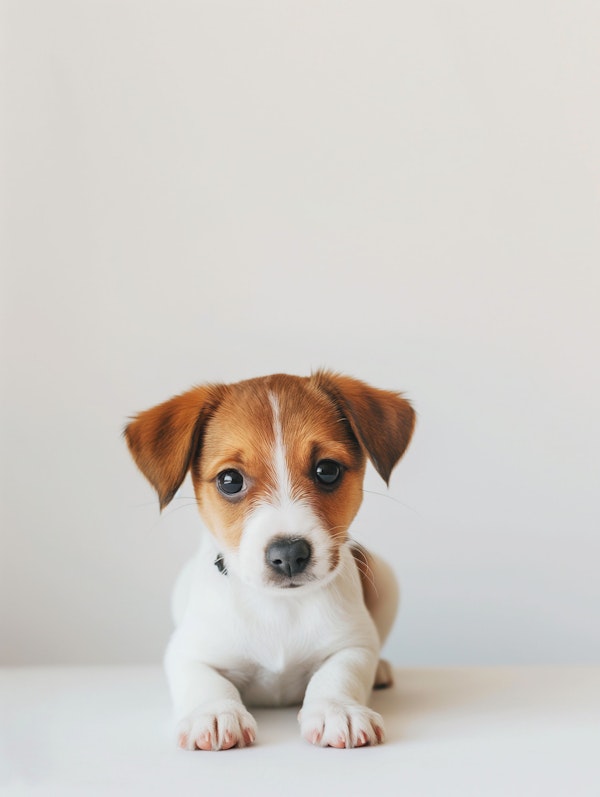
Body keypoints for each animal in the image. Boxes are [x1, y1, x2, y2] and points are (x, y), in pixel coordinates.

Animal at [124, 370, 414, 748]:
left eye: (327, 470)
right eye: (229, 480)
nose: (289, 554)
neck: (279, 606)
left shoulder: (353, 645)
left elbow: (338, 674)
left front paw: (338, 708)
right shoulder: (187, 652)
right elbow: (206, 682)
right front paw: (214, 712)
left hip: (385, 578)